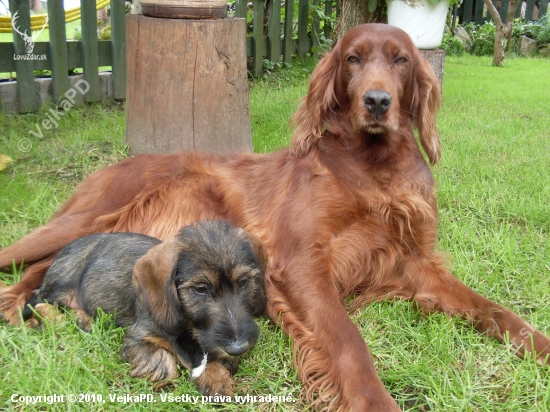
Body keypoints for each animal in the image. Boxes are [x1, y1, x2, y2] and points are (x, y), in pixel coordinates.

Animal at [25, 220, 268, 394]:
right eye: (200, 289)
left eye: (243, 282)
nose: (239, 347)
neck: (187, 326)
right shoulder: (138, 337)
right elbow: (164, 365)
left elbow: (212, 354)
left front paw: (217, 379)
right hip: (63, 279)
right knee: (38, 301)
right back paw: (57, 320)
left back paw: (82, 319)